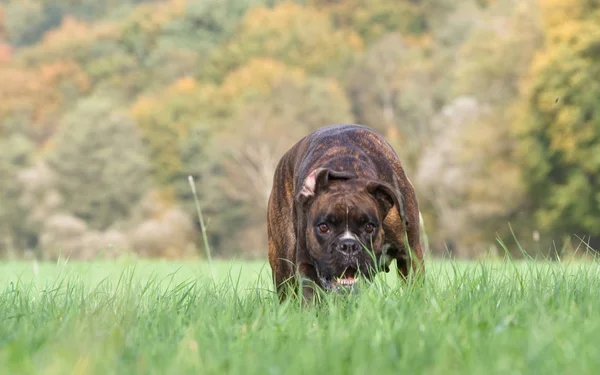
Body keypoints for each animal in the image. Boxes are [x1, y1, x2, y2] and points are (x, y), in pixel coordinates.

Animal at [268, 124, 426, 302]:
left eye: (369, 227)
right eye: (323, 227)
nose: (349, 245)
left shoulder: (411, 254)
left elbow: (416, 288)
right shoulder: (306, 266)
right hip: (283, 264)